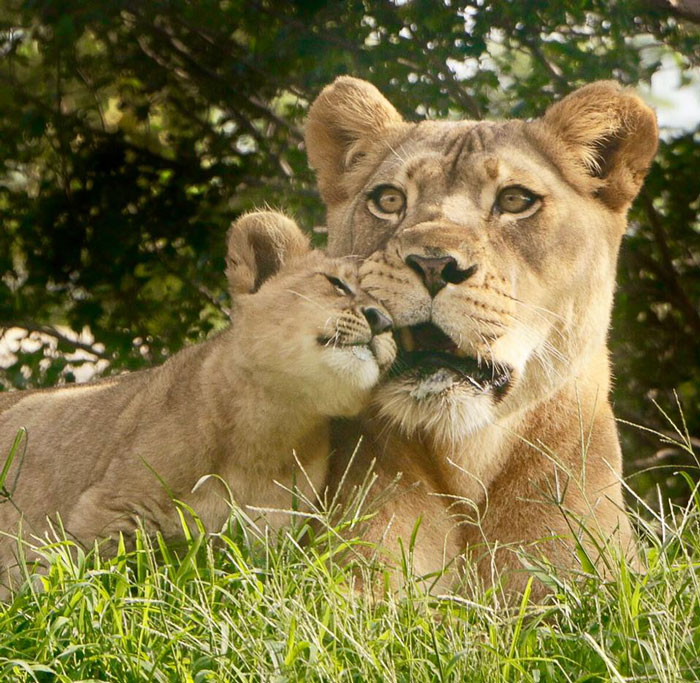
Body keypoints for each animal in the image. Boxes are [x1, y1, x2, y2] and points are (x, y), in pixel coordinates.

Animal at [0, 211, 395, 593]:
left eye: (390, 309)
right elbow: (84, 582)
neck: (270, 428)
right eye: (337, 284)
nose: (382, 320)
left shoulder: (267, 539)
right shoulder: (108, 511)